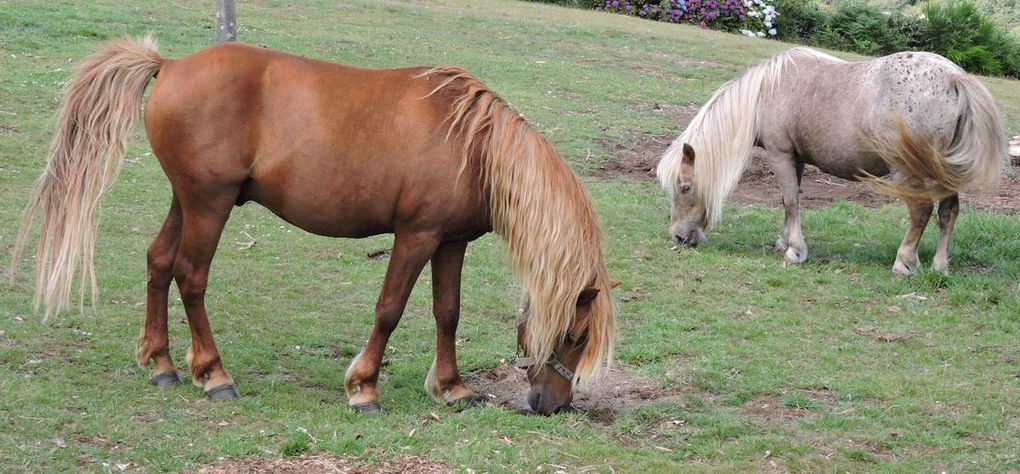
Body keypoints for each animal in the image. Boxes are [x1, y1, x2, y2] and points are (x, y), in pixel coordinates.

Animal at [11, 37, 612, 413]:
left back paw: (161, 364)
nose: (553, 406)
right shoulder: (415, 237)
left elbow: (447, 313)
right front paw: (364, 389)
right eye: (575, 335)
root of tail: (171, 64)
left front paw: (452, 389)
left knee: (159, 263)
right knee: (191, 276)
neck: (473, 145)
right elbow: (390, 310)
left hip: (187, 200)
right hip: (209, 204)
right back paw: (214, 374)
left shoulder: (450, 243)